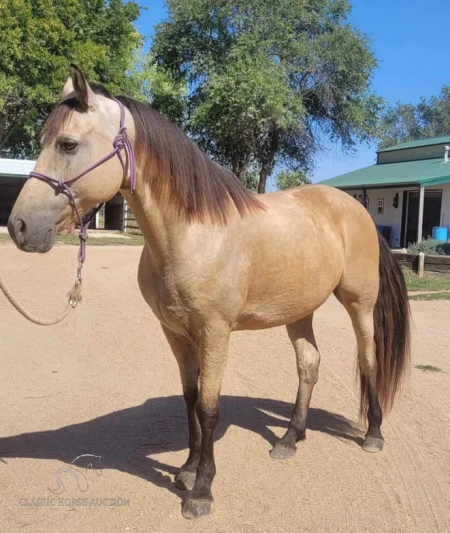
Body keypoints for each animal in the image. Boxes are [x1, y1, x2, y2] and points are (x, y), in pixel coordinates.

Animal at [7, 64, 410, 516]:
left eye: (68, 143)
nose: (19, 227)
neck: (193, 233)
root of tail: (355, 209)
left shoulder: (215, 333)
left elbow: (209, 406)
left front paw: (201, 490)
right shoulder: (176, 332)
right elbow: (190, 398)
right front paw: (186, 470)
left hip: (360, 303)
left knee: (368, 359)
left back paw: (373, 434)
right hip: (298, 311)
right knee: (309, 364)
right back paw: (290, 438)